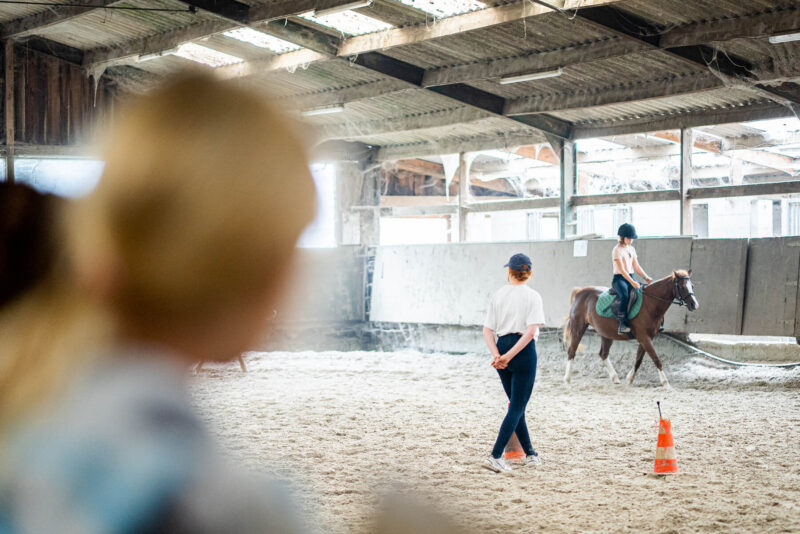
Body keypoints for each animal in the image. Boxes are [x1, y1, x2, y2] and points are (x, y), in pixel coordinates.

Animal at [564, 272, 692, 390]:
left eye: (692, 286)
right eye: (682, 287)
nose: (694, 304)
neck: (649, 303)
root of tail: (579, 292)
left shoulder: (646, 338)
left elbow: (638, 360)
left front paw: (630, 379)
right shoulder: (644, 338)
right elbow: (656, 359)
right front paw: (666, 383)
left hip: (606, 333)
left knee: (603, 354)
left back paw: (615, 378)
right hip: (578, 328)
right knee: (572, 351)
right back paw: (567, 380)